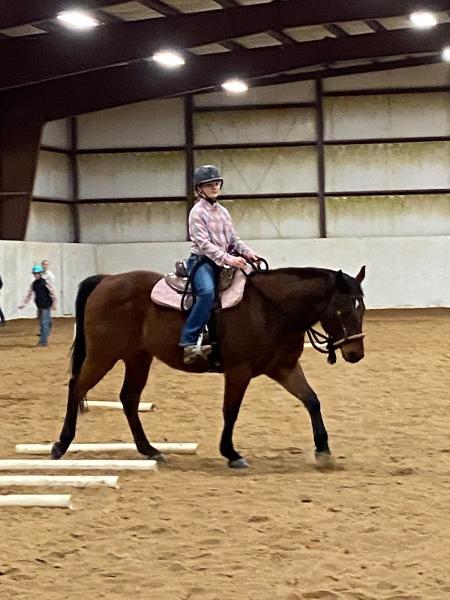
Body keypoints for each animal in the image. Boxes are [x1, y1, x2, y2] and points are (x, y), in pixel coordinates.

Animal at [51, 266, 366, 468]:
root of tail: (106, 281)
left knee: (128, 398)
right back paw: (61, 445)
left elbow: (312, 400)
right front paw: (231, 453)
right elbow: (231, 411)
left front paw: (323, 451)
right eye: (343, 309)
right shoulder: (239, 371)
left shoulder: (284, 368)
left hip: (137, 357)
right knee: (76, 386)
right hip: (103, 355)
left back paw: (150, 450)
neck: (268, 309)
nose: (355, 353)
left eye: (361, 307)